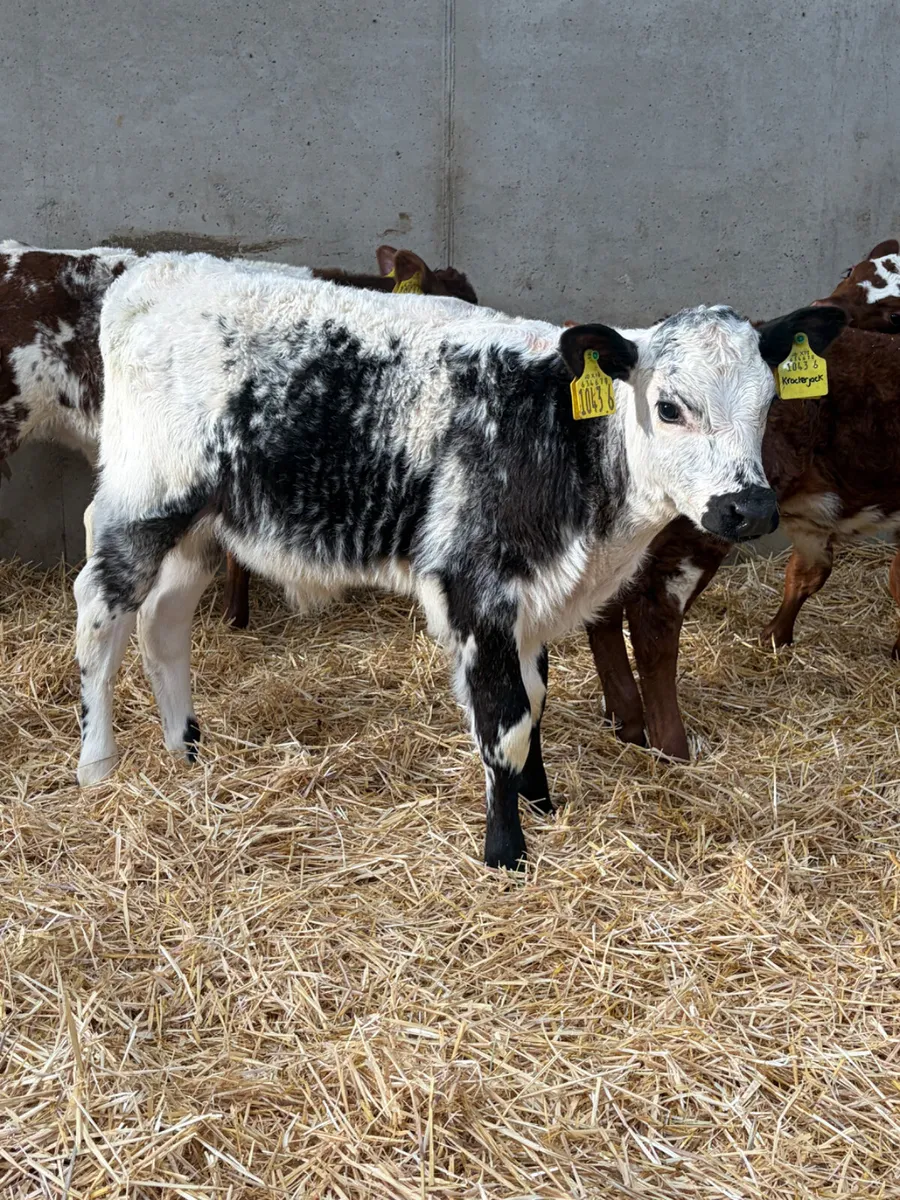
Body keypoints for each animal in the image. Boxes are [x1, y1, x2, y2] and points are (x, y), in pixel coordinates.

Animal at [73, 249, 843, 868]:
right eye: (671, 406)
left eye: (770, 400)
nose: (750, 509)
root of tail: (153, 270)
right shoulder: (477, 587)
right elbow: (504, 722)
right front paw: (506, 851)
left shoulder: (534, 594)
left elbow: (535, 701)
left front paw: (542, 803)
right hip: (140, 504)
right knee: (101, 619)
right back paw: (97, 764)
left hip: (200, 527)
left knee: (163, 626)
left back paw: (185, 750)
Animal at [586, 249, 900, 760]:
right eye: (849, 273)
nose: (825, 304)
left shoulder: (814, 521)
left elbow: (808, 573)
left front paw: (775, 639)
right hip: (700, 528)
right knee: (654, 617)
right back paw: (671, 744)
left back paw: (625, 720)